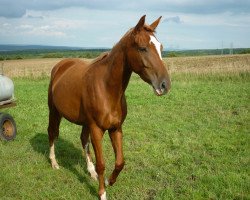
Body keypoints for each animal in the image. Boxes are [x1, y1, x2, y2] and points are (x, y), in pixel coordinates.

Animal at [47, 15, 171, 198]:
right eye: (142, 48)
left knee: (83, 140)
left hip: (85, 123)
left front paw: (107, 181)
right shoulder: (97, 129)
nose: (165, 85)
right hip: (54, 112)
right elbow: (102, 163)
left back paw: (90, 172)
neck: (106, 88)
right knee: (52, 133)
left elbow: (120, 162)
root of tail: (60, 65)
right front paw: (102, 193)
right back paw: (54, 163)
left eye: (160, 47)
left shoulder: (115, 128)